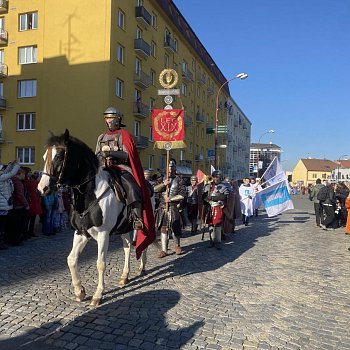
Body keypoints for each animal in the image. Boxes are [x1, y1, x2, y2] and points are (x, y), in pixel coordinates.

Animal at [38, 130, 152, 304]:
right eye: (45, 156)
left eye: (59, 156)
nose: (42, 188)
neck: (91, 194)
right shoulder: (81, 232)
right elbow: (71, 259)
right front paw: (79, 291)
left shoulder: (103, 234)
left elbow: (100, 263)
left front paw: (98, 294)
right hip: (124, 227)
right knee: (127, 247)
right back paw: (124, 276)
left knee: (143, 244)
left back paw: (142, 267)